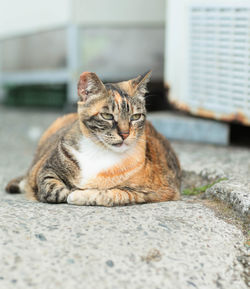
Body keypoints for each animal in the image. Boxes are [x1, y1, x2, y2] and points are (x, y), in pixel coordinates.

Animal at [5, 70, 182, 205]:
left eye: (135, 117)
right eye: (107, 116)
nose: (125, 134)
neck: (99, 151)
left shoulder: (159, 190)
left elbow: (114, 193)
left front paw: (80, 194)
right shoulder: (46, 168)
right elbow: (51, 187)